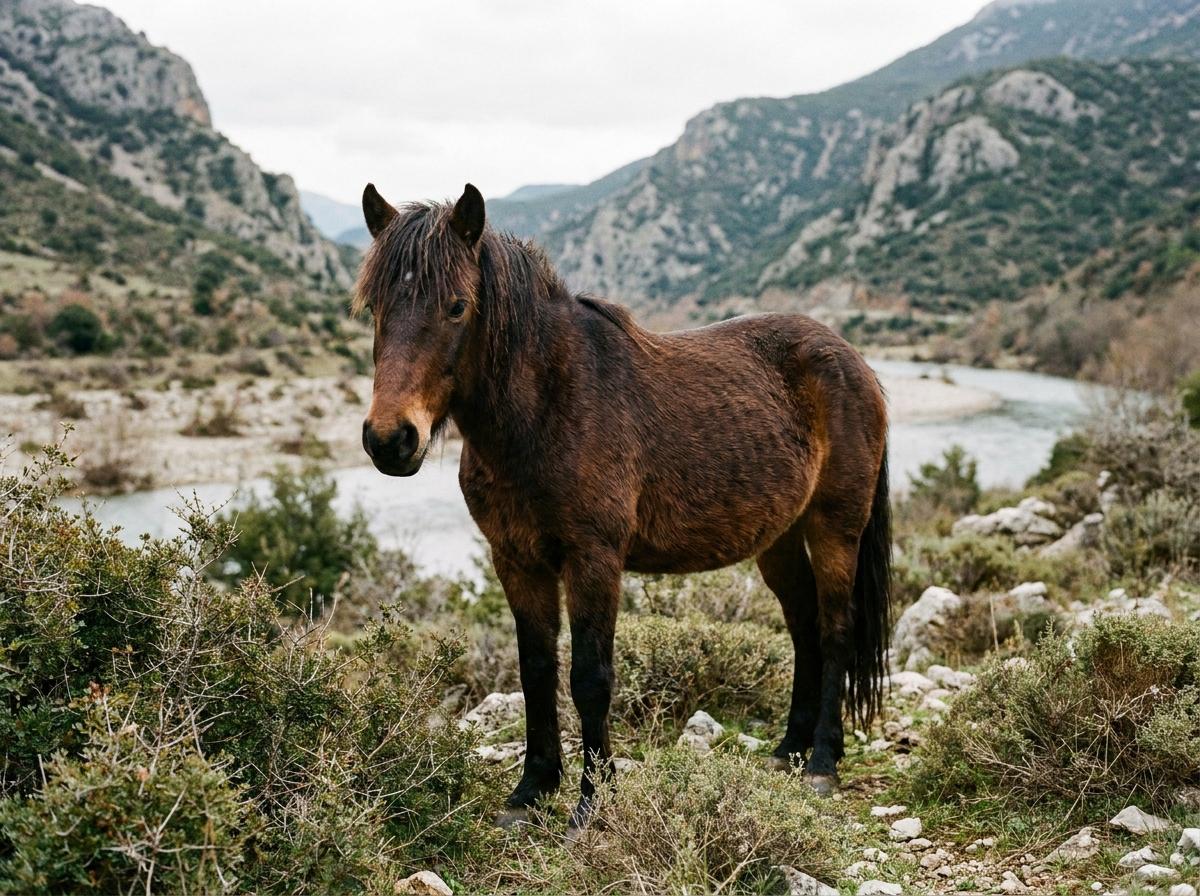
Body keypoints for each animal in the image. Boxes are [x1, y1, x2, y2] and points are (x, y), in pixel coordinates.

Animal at [353, 182, 891, 829]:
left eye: (457, 307)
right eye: (374, 307)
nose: (390, 440)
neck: (550, 407)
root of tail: (852, 359)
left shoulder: (594, 559)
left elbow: (590, 677)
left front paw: (592, 802)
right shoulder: (516, 560)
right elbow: (537, 669)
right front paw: (531, 790)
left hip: (836, 527)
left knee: (835, 630)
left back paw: (822, 762)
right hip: (779, 540)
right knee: (805, 628)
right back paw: (788, 750)